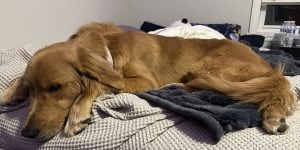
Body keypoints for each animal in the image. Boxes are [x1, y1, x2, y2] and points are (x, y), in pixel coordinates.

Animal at [0, 22, 296, 140]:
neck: (109, 50)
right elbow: (20, 76)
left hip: (204, 69)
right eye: (32, 90)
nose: (26, 134)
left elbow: (97, 83)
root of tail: (266, 65)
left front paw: (78, 114)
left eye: (56, 88)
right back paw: (274, 117)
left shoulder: (143, 80)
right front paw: (10, 91)